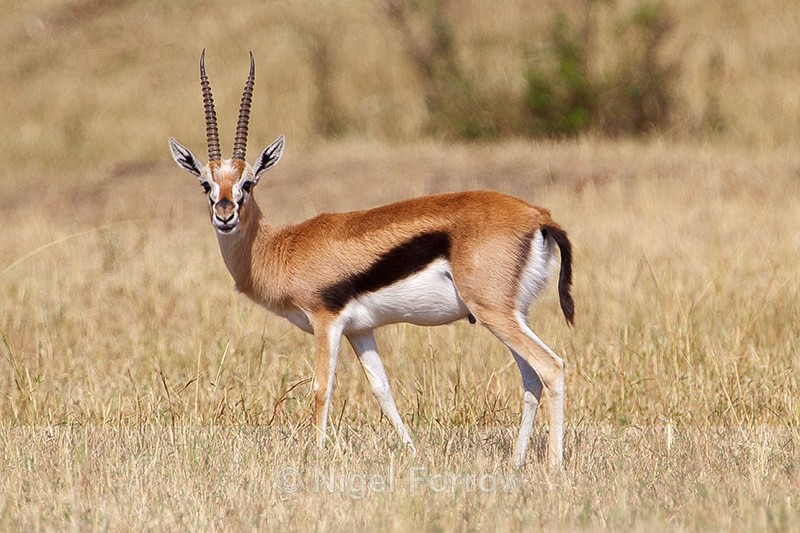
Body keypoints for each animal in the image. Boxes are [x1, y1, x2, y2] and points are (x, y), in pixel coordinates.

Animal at [168, 51, 574, 466]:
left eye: (248, 183)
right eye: (206, 183)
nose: (225, 214)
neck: (282, 247)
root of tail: (538, 216)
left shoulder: (326, 321)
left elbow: (322, 387)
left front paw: (316, 457)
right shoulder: (361, 331)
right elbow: (383, 390)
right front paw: (412, 453)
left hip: (494, 312)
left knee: (552, 367)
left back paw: (554, 465)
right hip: (512, 315)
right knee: (530, 377)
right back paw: (517, 461)